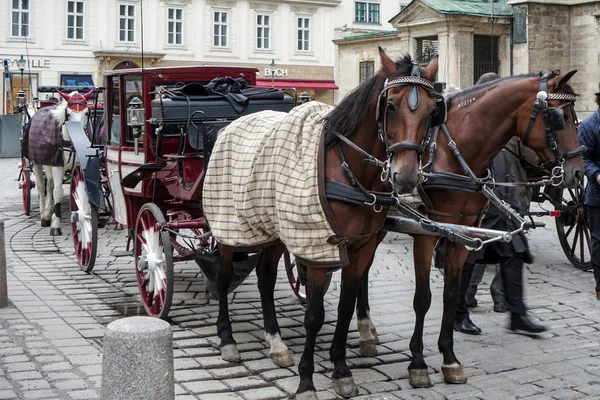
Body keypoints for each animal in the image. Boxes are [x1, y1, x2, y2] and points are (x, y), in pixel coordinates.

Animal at [27, 89, 94, 236]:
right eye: (68, 114)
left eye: (86, 113)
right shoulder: (58, 165)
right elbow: (57, 192)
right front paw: (55, 225)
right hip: (37, 162)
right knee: (41, 186)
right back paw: (43, 214)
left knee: (49, 185)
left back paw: (48, 213)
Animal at [210, 47, 440, 400]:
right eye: (390, 105)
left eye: (431, 111)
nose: (406, 177)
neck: (349, 170)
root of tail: (230, 125)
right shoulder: (317, 248)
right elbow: (314, 316)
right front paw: (306, 381)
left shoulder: (359, 248)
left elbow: (345, 306)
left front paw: (341, 368)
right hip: (230, 227)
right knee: (223, 278)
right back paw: (227, 339)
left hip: (273, 230)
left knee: (265, 277)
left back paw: (275, 341)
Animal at [356, 69, 580, 388]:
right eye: (560, 116)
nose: (578, 171)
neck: (454, 156)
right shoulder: (427, 234)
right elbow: (422, 299)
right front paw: (418, 363)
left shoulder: (461, 235)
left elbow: (451, 294)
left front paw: (450, 358)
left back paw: (367, 330)